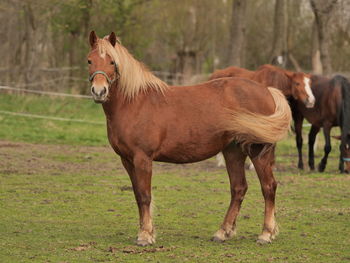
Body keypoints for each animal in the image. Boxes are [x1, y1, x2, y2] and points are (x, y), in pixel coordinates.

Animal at [87, 31, 292, 248]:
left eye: (112, 61)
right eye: (90, 60)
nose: (99, 91)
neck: (134, 102)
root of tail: (268, 91)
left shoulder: (142, 158)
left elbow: (145, 196)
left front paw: (145, 235)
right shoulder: (127, 160)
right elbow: (137, 195)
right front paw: (145, 231)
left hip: (257, 152)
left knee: (268, 187)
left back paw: (266, 234)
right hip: (233, 152)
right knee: (239, 188)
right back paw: (223, 232)